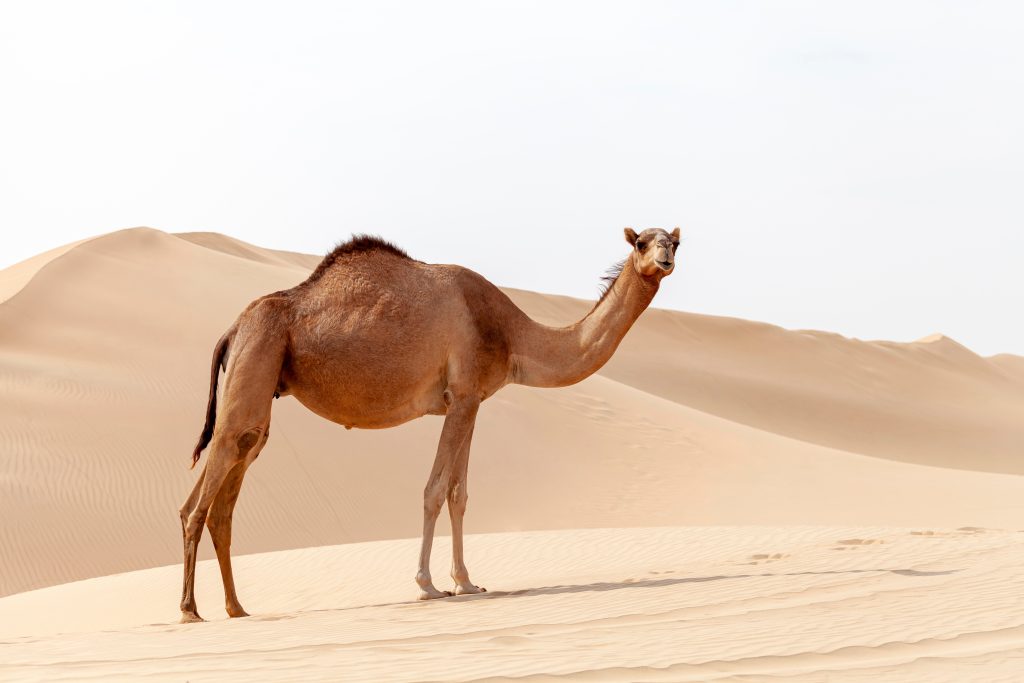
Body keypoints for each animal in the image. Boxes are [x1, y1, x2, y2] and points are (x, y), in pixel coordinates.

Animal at [179, 227, 680, 622]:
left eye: (674, 240)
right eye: (641, 241)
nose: (664, 258)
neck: (511, 333)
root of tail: (233, 328)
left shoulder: (471, 400)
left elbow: (460, 494)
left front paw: (467, 582)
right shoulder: (462, 397)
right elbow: (435, 490)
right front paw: (427, 585)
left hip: (259, 385)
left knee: (224, 489)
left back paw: (236, 608)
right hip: (257, 357)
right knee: (203, 495)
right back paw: (190, 611)